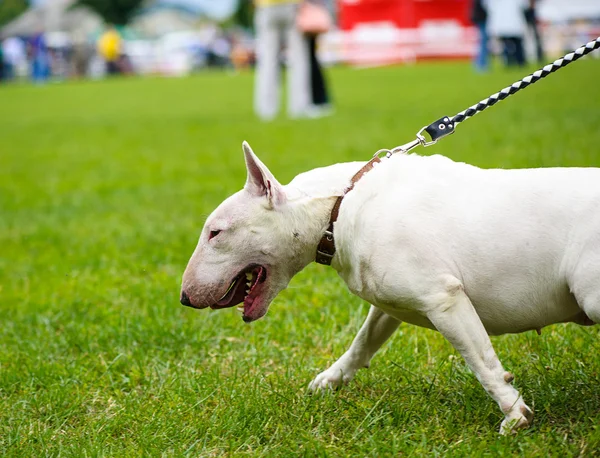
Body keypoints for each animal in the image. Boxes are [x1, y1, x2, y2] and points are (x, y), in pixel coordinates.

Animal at [179, 142, 600, 432]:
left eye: (215, 232)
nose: (183, 297)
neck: (337, 209)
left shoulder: (443, 299)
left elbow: (481, 361)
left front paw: (514, 414)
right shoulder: (389, 304)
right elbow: (363, 342)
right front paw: (329, 381)